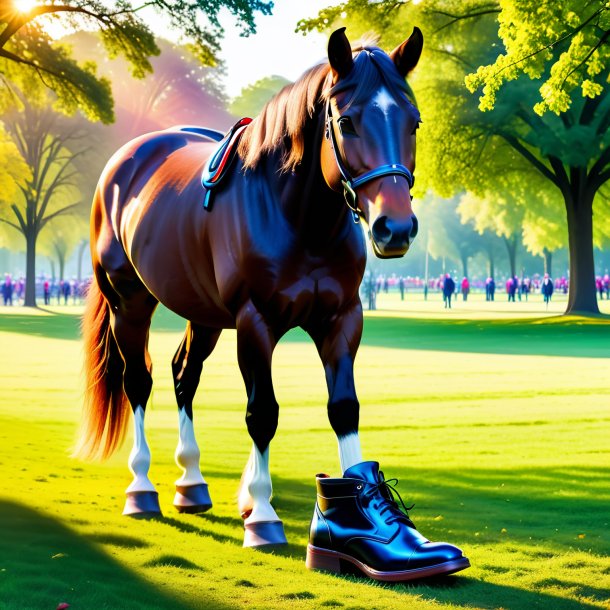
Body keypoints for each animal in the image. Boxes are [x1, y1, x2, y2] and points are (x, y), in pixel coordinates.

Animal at [77, 27, 428, 556]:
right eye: (347, 120)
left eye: (414, 122)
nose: (396, 228)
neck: (299, 217)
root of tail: (125, 161)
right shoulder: (255, 321)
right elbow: (262, 413)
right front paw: (261, 515)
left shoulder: (342, 319)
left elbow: (343, 408)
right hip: (129, 303)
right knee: (138, 380)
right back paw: (141, 489)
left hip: (202, 314)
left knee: (184, 375)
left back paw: (191, 484)